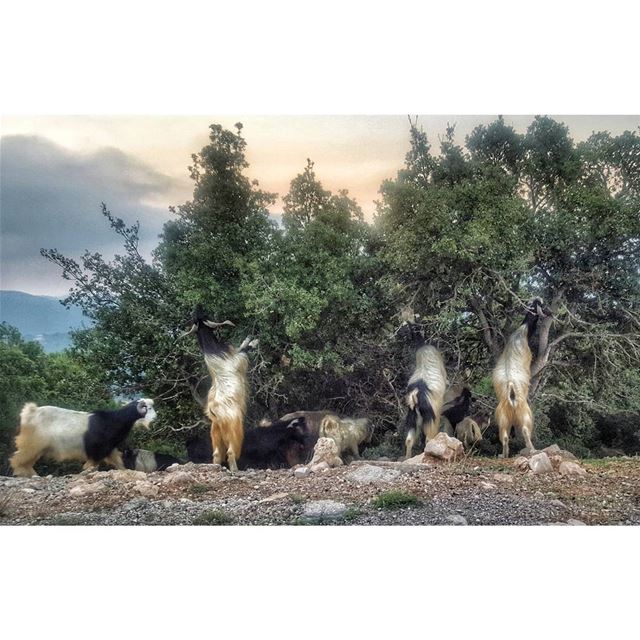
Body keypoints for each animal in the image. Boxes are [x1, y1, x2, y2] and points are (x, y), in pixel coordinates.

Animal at [10, 398, 156, 478]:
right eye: (148, 408)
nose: (155, 419)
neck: (113, 420)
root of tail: (30, 412)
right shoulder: (99, 449)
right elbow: (92, 464)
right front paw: (86, 471)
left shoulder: (109, 448)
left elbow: (117, 461)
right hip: (33, 444)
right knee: (18, 458)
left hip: (38, 447)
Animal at [180, 308, 258, 472]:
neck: (214, 352)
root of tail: (215, 414)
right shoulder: (237, 361)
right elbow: (244, 350)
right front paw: (253, 341)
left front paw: (248, 338)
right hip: (234, 429)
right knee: (231, 452)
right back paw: (235, 470)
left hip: (215, 432)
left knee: (216, 454)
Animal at [492, 298, 548, 458]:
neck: (523, 331)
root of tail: (511, 389)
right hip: (525, 413)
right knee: (525, 430)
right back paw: (533, 449)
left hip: (502, 417)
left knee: (504, 436)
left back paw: (504, 454)